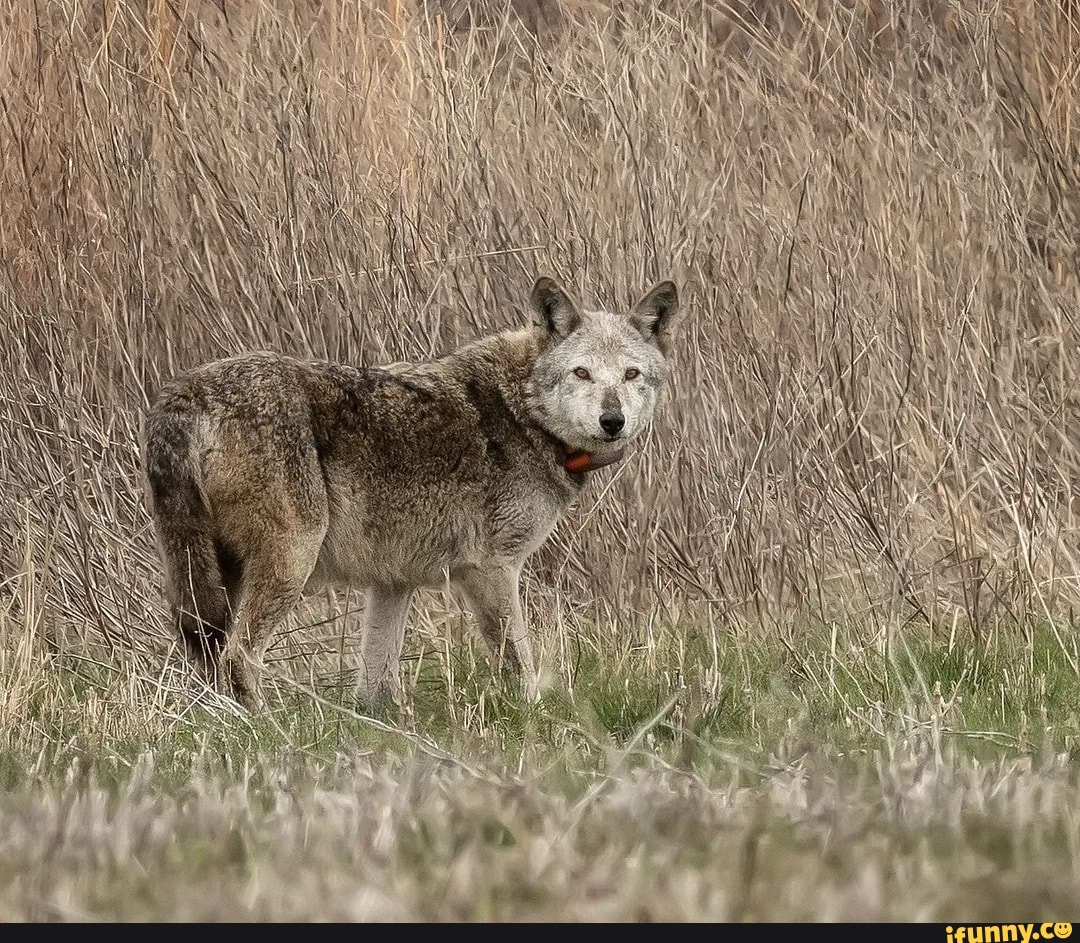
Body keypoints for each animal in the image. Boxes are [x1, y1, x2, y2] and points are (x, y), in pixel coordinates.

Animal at [141, 275, 682, 708]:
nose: (613, 421)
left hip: (218, 578)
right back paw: (267, 728)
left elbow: (374, 685)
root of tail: (186, 391)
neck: (521, 412)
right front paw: (537, 717)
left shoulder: (392, 583)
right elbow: (518, 662)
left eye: (631, 374)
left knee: (206, 658)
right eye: (582, 373)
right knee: (237, 656)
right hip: (288, 563)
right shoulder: (491, 569)